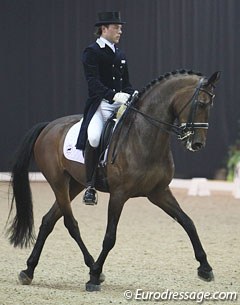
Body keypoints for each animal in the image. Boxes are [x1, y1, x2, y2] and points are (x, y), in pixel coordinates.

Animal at [7, 68, 221, 290]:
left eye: (210, 105)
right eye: (202, 103)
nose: (197, 144)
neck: (144, 138)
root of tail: (48, 126)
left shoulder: (159, 192)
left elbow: (188, 222)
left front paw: (205, 268)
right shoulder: (119, 194)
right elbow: (110, 237)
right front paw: (93, 278)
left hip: (74, 184)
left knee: (49, 220)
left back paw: (29, 270)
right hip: (58, 182)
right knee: (70, 223)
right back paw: (90, 268)